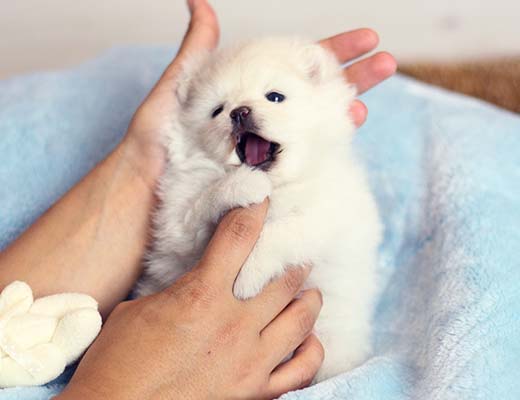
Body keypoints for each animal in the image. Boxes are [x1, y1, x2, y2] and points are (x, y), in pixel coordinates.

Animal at [137, 37, 382, 382]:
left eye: (275, 97)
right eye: (217, 110)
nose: (239, 112)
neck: (278, 185)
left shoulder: (330, 212)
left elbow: (283, 231)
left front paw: (247, 278)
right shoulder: (178, 223)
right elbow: (203, 204)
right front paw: (243, 185)